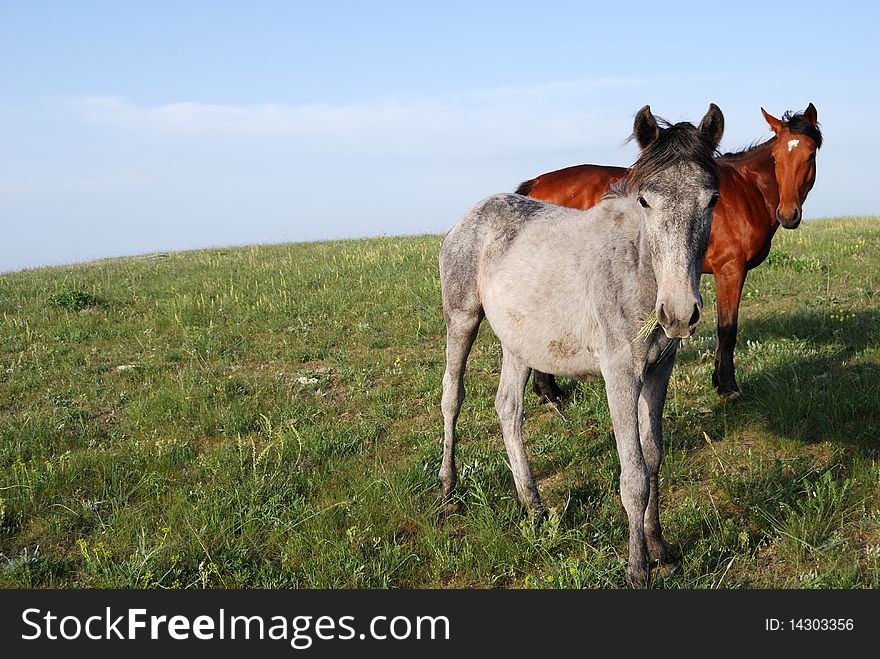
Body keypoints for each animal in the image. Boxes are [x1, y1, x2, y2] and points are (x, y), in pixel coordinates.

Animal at [438, 104, 720, 588]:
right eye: (645, 201)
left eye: (712, 200)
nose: (680, 313)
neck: (637, 270)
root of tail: (470, 215)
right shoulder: (619, 374)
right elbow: (633, 476)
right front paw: (637, 567)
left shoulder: (658, 370)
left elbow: (653, 457)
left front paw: (660, 547)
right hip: (462, 319)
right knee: (452, 396)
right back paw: (448, 485)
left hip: (519, 344)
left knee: (508, 408)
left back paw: (533, 506)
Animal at [520, 104, 820, 402]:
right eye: (775, 157)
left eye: (810, 154)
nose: (788, 214)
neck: (747, 191)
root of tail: (538, 182)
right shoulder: (730, 269)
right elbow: (727, 329)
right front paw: (727, 385)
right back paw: (548, 392)